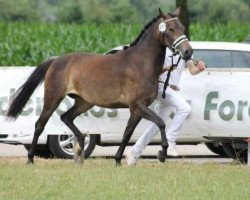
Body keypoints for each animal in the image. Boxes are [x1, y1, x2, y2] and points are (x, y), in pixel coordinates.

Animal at [6, 7, 193, 166]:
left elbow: (127, 133)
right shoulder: (138, 105)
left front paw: (118, 160)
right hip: (53, 98)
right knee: (40, 125)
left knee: (66, 117)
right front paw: (162, 153)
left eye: (182, 27)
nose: (188, 52)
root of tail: (56, 60)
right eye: (170, 29)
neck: (140, 64)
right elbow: (160, 122)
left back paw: (80, 150)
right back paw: (30, 159)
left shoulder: (137, 109)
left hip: (84, 102)